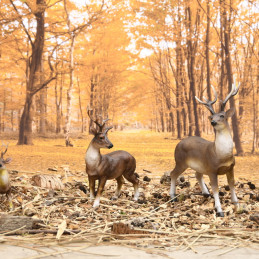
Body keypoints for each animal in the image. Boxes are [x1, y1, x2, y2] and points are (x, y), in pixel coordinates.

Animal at [171, 83, 242, 217]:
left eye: (222, 116)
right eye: (212, 116)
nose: (213, 122)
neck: (221, 155)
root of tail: (178, 143)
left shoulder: (231, 167)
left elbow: (232, 184)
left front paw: (237, 205)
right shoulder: (212, 169)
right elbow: (216, 189)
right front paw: (219, 210)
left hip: (199, 165)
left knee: (197, 174)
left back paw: (205, 193)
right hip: (180, 161)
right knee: (173, 174)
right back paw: (172, 196)